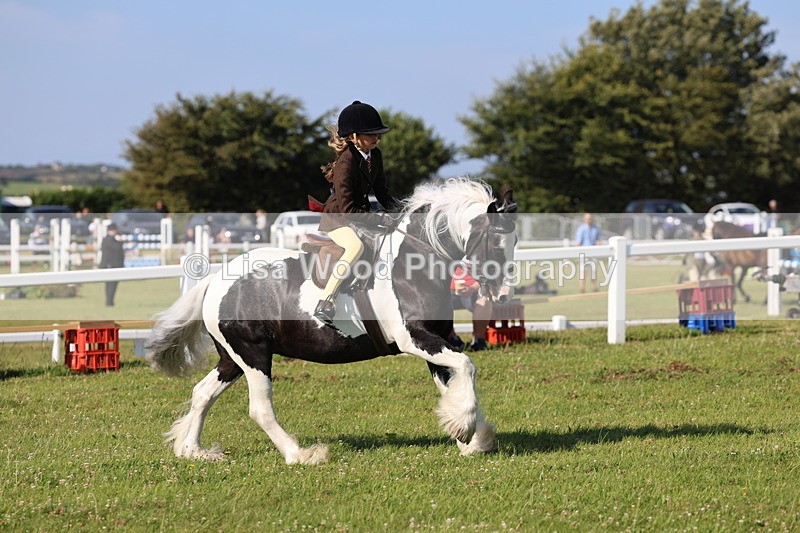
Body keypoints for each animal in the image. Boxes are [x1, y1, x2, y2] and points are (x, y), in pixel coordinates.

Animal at [145, 179, 519, 464]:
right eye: (495, 243)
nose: (502, 296)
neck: (413, 265)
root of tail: (215, 280)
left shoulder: (436, 340)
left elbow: (450, 381)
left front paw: (468, 437)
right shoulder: (415, 338)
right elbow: (467, 366)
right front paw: (466, 429)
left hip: (232, 358)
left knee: (202, 393)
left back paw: (194, 451)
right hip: (253, 356)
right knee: (259, 409)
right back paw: (301, 455)